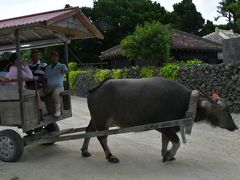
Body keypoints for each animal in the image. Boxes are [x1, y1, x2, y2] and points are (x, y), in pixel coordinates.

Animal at [81, 77, 238, 163]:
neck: (185, 102)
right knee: (102, 137)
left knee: (88, 131)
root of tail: (95, 89)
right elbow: (177, 141)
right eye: (225, 110)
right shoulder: (164, 127)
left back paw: (84, 151)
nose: (235, 127)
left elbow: (166, 141)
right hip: (102, 121)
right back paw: (110, 156)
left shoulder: (167, 129)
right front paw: (169, 155)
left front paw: (165, 153)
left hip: (95, 120)